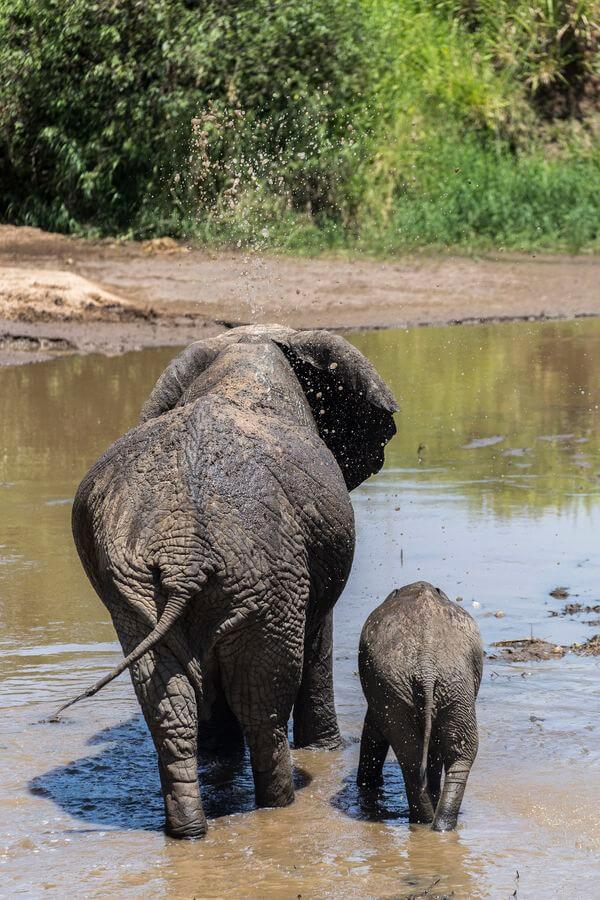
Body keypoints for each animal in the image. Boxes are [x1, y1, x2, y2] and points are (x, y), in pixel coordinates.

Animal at [55, 324, 397, 839]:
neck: (247, 346)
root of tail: (184, 552)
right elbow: (318, 640)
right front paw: (325, 751)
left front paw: (220, 759)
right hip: (269, 576)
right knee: (263, 703)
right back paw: (278, 807)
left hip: (140, 586)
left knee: (168, 702)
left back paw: (190, 830)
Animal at [357, 581, 483, 831]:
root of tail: (427, 666)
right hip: (430, 687)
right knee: (436, 756)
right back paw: (435, 825)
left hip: (431, 687)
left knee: (422, 757)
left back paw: (431, 823)